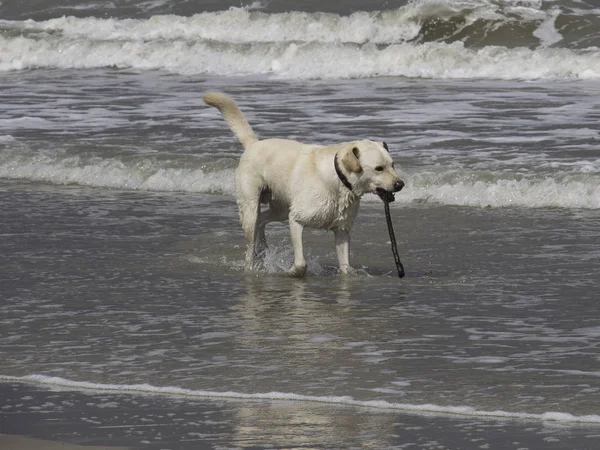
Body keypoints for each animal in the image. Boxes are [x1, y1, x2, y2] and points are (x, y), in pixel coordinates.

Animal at [204, 92, 406, 276]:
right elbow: (301, 262)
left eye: (393, 165)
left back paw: (262, 249)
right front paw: (291, 271)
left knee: (262, 221)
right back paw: (252, 265)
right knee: (250, 239)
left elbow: (346, 267)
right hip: (251, 206)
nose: (400, 184)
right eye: (379, 168)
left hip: (281, 207)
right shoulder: (296, 219)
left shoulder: (342, 229)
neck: (338, 180)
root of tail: (253, 144)